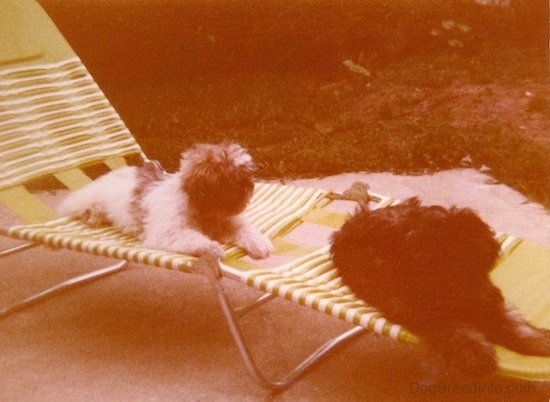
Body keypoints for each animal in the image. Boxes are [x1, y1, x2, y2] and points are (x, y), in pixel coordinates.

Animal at [59, 143, 274, 260]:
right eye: (232, 179)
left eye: (246, 173)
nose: (250, 186)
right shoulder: (168, 231)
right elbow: (192, 238)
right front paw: (211, 247)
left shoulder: (226, 222)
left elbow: (244, 229)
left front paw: (259, 242)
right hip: (87, 200)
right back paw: (90, 216)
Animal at [332, 198, 550, 376]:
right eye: (429, 258)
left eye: (466, 256)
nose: (454, 285)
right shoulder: (417, 309)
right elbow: (452, 328)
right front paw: (473, 352)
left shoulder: (484, 295)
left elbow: (510, 322)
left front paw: (538, 340)